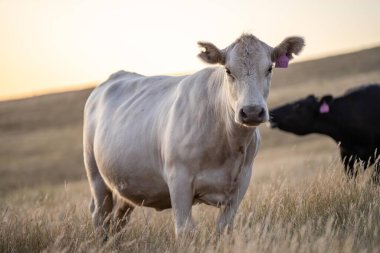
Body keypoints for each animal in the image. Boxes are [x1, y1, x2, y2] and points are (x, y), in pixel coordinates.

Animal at [83, 33, 302, 237]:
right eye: (228, 70)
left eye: (269, 68)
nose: (252, 111)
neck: (228, 144)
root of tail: (115, 76)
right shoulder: (178, 179)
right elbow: (184, 229)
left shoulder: (241, 182)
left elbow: (223, 226)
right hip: (96, 177)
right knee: (100, 215)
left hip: (125, 185)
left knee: (118, 219)